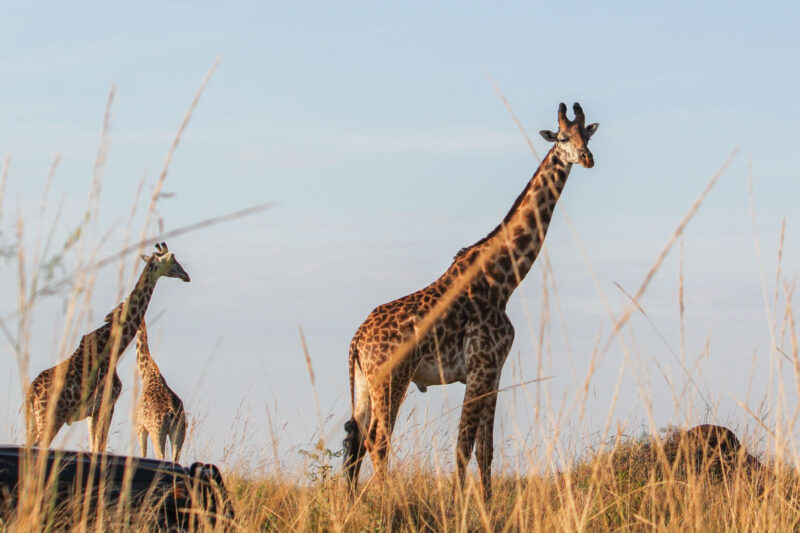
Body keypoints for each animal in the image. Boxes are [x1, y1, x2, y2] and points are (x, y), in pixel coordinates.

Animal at [138, 320, 189, 462]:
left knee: (160, 456)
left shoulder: (140, 427)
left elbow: (142, 454)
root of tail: (172, 413)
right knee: (175, 459)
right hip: (179, 432)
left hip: (157, 432)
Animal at [344, 103, 600, 498]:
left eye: (586, 135)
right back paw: (389, 500)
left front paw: (486, 503)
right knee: (378, 440)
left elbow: (486, 449)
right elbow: (464, 445)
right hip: (391, 379)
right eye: (561, 138)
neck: (503, 280)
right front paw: (458, 504)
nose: (587, 158)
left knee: (355, 441)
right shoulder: (481, 367)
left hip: (362, 384)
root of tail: (357, 340)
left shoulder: (493, 372)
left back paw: (353, 503)